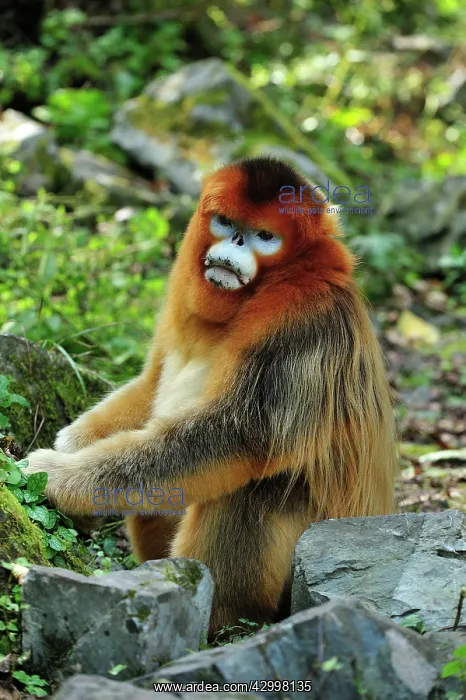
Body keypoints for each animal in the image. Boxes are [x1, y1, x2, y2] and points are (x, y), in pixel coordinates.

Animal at [25, 156, 398, 633]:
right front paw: (73, 442)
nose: (235, 241)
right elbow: (151, 381)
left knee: (252, 488)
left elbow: (233, 436)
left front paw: (57, 475)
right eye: (226, 222)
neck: (265, 287)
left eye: (264, 236)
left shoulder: (300, 314)